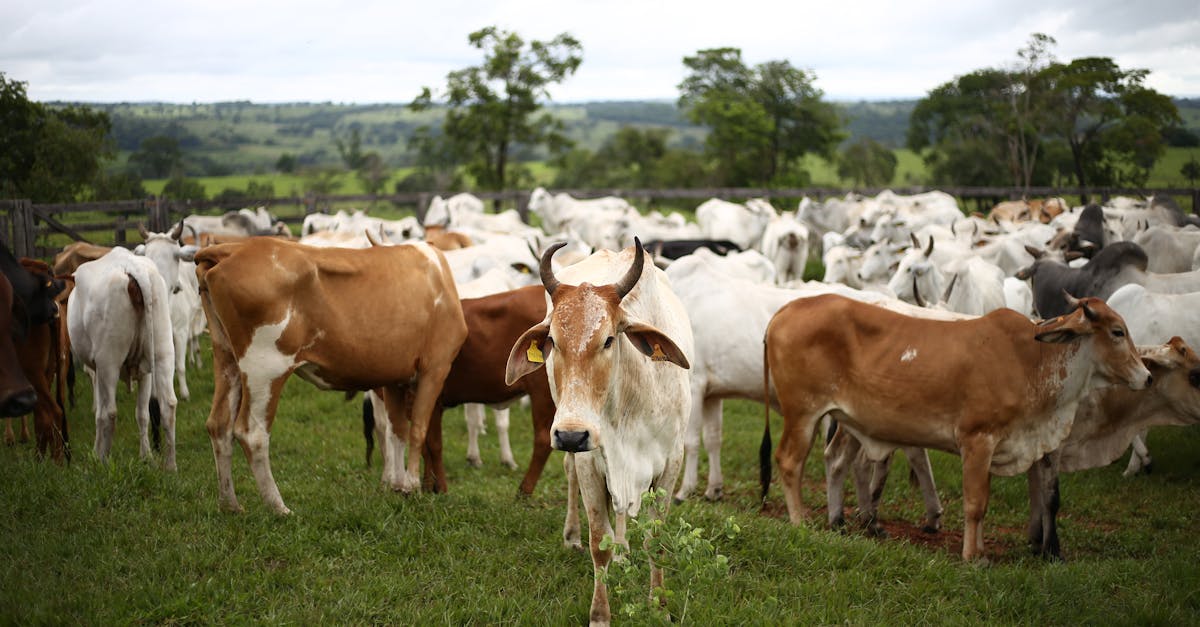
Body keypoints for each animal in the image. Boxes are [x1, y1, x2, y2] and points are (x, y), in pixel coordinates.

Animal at [67, 246, 177, 466]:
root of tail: (132, 267)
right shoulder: (145, 373)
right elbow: (142, 414)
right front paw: (146, 456)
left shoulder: (97, 371)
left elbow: (99, 413)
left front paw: (96, 453)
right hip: (163, 353)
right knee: (168, 405)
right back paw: (170, 466)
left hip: (109, 362)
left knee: (109, 412)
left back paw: (104, 462)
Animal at [194, 234, 465, 511]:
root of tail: (234, 248)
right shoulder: (435, 367)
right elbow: (418, 429)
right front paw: (412, 487)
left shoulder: (394, 378)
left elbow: (397, 430)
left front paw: (398, 487)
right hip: (264, 367)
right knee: (253, 434)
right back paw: (279, 507)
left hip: (226, 357)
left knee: (219, 425)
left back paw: (231, 505)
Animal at [506, 240, 696, 624]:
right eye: (552, 340)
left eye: (608, 339)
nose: (571, 435)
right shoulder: (590, 461)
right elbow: (599, 544)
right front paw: (599, 614)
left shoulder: (671, 462)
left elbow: (656, 540)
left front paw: (659, 607)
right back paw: (574, 536)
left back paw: (623, 550)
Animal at [763, 290, 1147, 559]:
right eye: (1117, 332)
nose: (1146, 376)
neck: (1032, 361)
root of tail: (786, 310)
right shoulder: (978, 440)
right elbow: (975, 503)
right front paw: (972, 556)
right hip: (802, 413)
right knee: (789, 462)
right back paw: (800, 522)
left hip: (839, 418)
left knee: (833, 461)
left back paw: (838, 522)